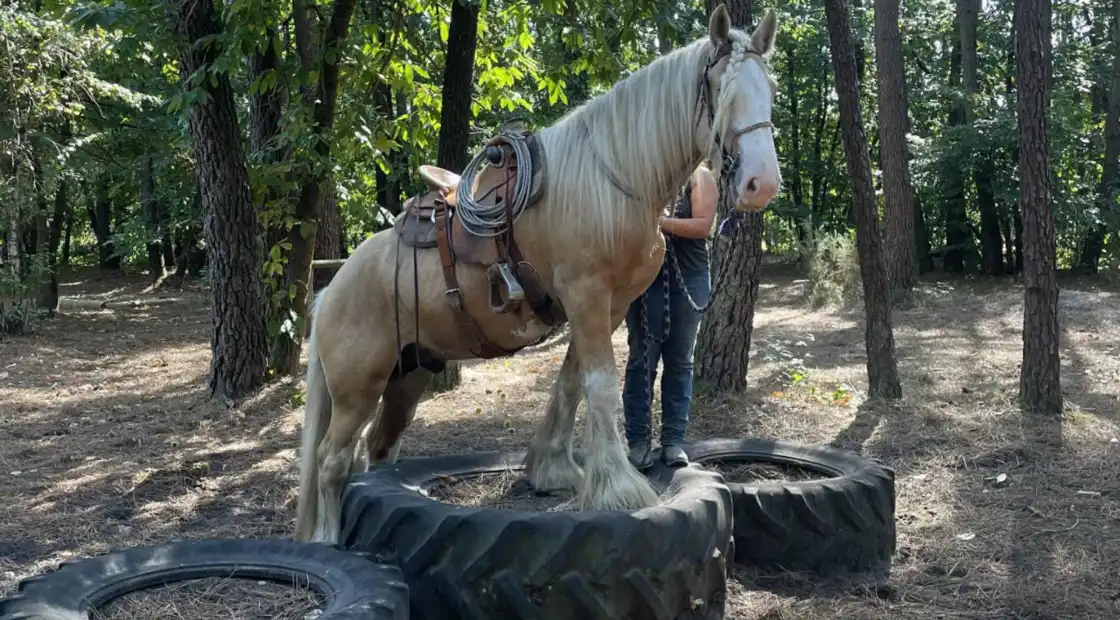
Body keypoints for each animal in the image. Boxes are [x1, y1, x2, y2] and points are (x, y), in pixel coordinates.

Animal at [294, 4, 783, 545]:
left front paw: (552, 469)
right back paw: (327, 541)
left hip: (408, 377)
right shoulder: (587, 296)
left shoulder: (609, 305)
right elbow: (600, 384)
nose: (762, 184)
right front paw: (618, 487)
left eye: (770, 88)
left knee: (376, 448)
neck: (611, 181)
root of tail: (331, 293)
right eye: (723, 90)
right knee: (331, 460)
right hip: (357, 388)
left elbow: (571, 382)